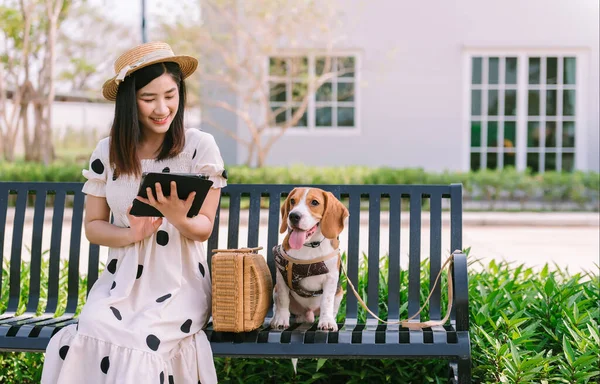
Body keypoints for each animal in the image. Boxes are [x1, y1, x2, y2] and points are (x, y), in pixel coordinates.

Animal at [270, 188, 350, 332]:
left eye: (314, 202)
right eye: (292, 200)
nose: (293, 216)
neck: (310, 245)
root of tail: (309, 312)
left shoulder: (331, 279)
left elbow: (326, 302)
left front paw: (327, 321)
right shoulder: (281, 277)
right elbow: (283, 300)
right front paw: (281, 320)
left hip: (339, 291)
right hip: (275, 289)